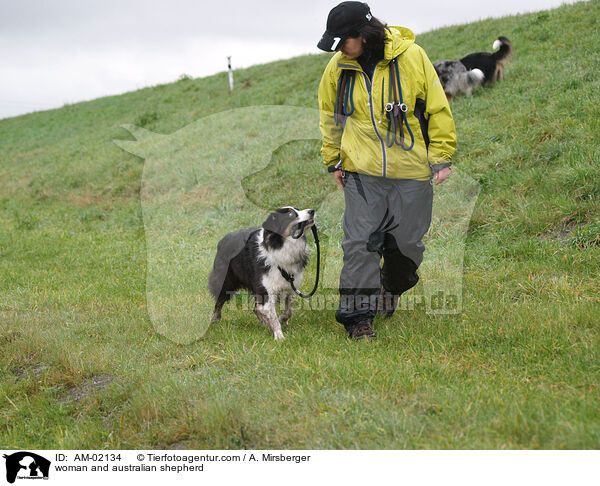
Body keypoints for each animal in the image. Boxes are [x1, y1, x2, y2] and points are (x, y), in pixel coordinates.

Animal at [209, 207, 316, 340]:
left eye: (298, 209)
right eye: (291, 214)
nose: (312, 211)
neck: (281, 245)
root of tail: (222, 240)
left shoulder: (290, 285)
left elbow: (289, 310)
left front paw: (282, 320)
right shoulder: (266, 287)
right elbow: (272, 314)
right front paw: (279, 336)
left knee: (256, 307)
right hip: (227, 280)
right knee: (220, 299)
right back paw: (214, 320)